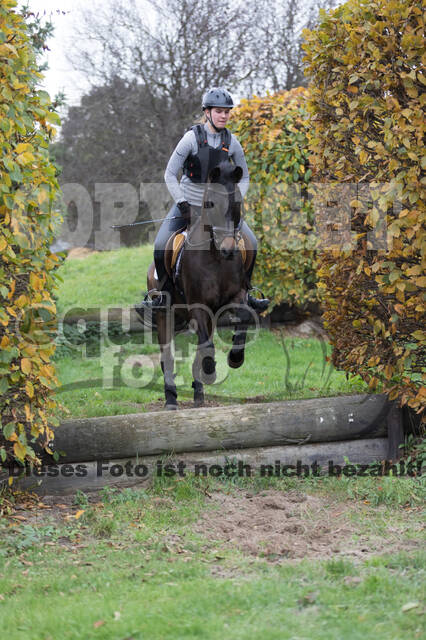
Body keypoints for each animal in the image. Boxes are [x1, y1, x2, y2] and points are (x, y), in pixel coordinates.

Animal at [145, 161, 256, 410]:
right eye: (210, 204)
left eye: (237, 203)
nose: (228, 248)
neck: (215, 256)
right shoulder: (197, 304)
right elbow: (206, 345)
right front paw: (211, 371)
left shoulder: (234, 297)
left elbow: (243, 318)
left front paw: (235, 359)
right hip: (164, 314)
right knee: (167, 357)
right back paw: (171, 399)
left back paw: (198, 393)